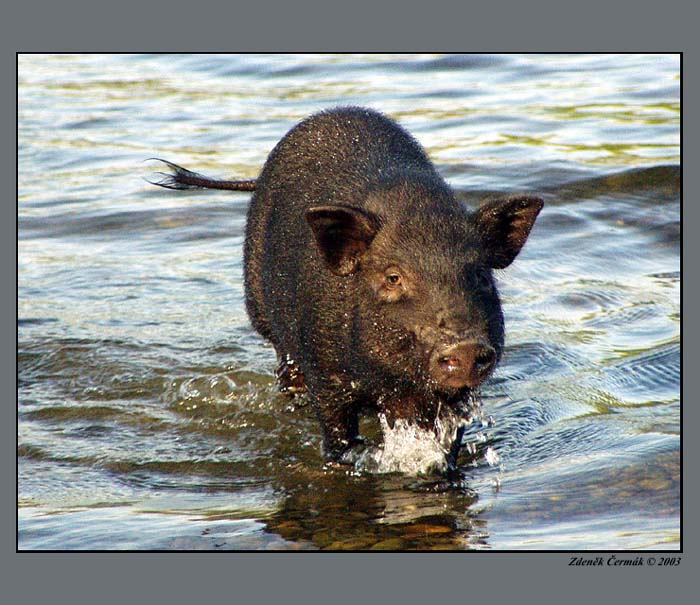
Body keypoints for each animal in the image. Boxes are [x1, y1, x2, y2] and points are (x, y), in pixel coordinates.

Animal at [150, 107, 543, 464]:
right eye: (393, 277)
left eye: (480, 275)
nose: (465, 346)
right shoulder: (325, 373)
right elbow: (337, 433)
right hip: (267, 321)